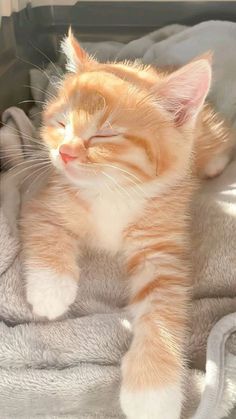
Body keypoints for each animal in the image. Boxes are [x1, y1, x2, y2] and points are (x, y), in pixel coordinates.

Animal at [20, 30, 232, 419]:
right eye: (62, 124)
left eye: (105, 135)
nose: (65, 153)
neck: (112, 191)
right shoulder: (44, 198)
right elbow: (47, 228)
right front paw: (50, 290)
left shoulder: (163, 248)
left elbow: (162, 309)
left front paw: (153, 389)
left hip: (211, 134)